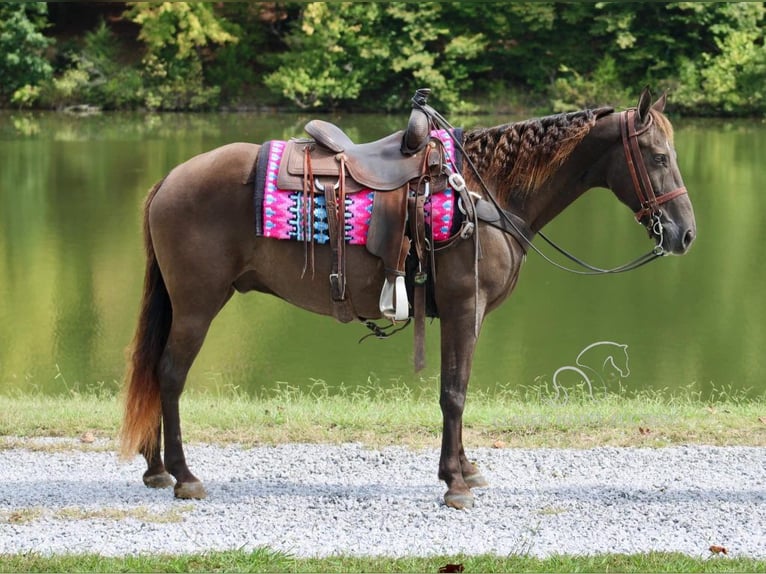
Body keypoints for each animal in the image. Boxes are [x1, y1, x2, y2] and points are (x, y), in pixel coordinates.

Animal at [118, 88, 696, 510]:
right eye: (658, 156)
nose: (685, 234)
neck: (485, 193)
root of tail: (169, 179)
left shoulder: (465, 315)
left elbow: (456, 388)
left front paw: (463, 469)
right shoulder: (465, 307)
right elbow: (454, 393)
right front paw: (455, 485)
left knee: (158, 372)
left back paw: (157, 468)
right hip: (197, 304)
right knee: (170, 375)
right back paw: (184, 476)